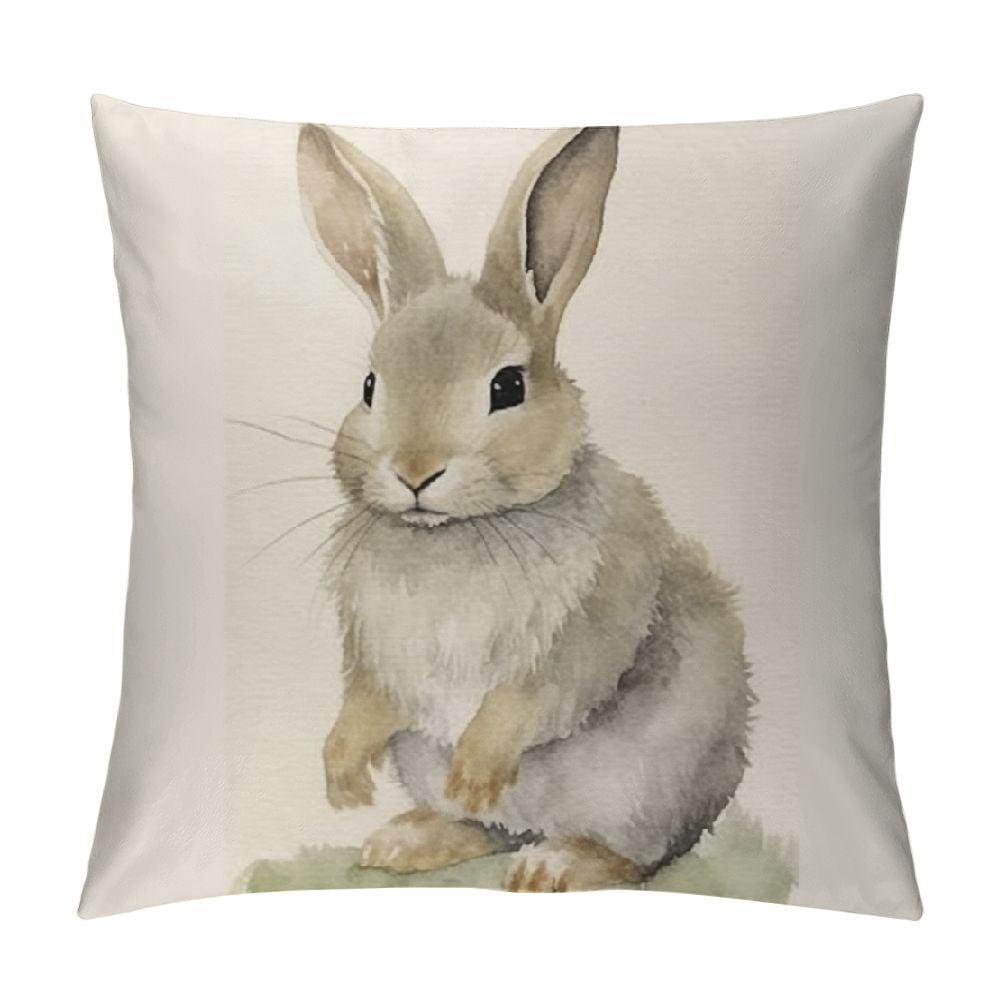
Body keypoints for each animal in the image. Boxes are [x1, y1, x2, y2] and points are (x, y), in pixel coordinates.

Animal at [296, 122, 753, 891]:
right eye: (369, 387)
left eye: (507, 387)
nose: (415, 471)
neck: (454, 533)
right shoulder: (376, 650)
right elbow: (366, 699)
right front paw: (343, 776)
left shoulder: (588, 623)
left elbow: (529, 698)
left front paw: (477, 771)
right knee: (486, 830)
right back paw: (410, 838)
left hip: (642, 787)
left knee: (636, 854)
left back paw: (553, 865)